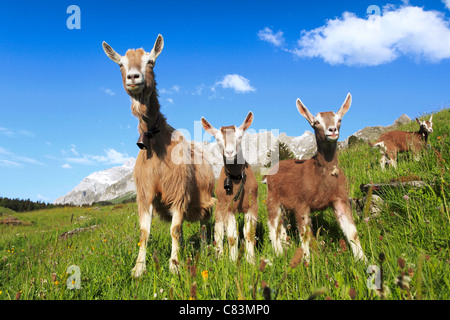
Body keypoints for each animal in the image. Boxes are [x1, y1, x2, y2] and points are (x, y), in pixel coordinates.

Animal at [103, 33, 216, 276]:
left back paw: (204, 249)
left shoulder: (179, 191)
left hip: (206, 197)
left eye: (151, 61)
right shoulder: (146, 193)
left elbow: (174, 229)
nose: (133, 77)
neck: (156, 143)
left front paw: (174, 267)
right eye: (120, 64)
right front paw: (138, 269)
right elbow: (145, 232)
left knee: (204, 223)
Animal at [200, 111, 256, 264]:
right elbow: (231, 237)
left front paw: (251, 261)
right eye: (217, 139)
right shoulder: (228, 207)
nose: (230, 153)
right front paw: (233, 261)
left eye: (240, 137)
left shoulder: (252, 206)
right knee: (219, 232)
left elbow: (249, 234)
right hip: (219, 207)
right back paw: (219, 255)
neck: (236, 179)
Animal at [266, 94, 368, 262]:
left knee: (283, 224)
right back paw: (279, 252)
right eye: (316, 122)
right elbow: (305, 235)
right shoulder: (301, 203)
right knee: (273, 224)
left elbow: (352, 231)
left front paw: (363, 260)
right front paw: (307, 261)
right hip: (272, 198)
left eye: (339, 119)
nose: (332, 130)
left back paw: (286, 245)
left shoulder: (340, 198)